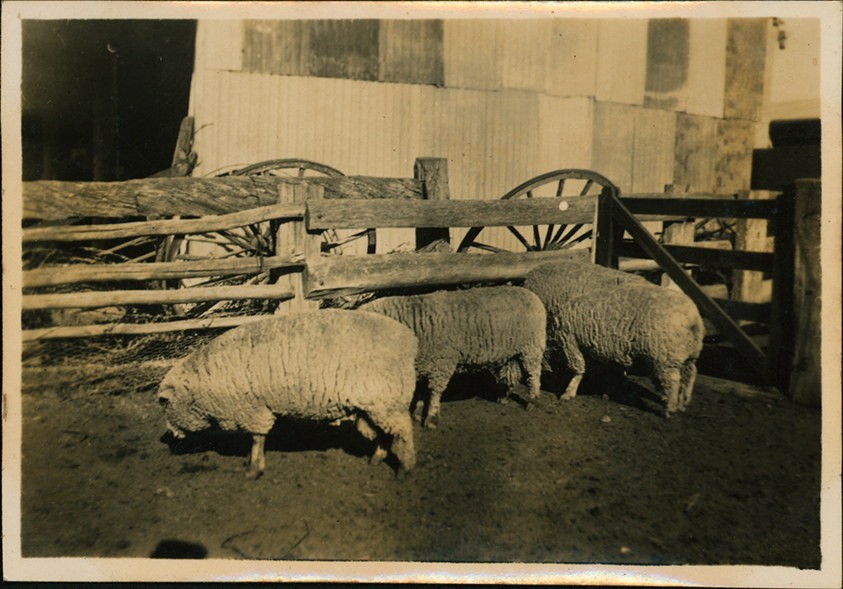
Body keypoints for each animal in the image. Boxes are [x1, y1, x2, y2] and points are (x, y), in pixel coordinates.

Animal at [157, 309, 419, 478]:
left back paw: (405, 469)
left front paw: (253, 469)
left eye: (165, 403)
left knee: (404, 432)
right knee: (386, 433)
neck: (209, 382)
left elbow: (256, 438)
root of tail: (410, 340)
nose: (169, 435)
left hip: (387, 398)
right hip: (377, 403)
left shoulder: (253, 409)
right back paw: (375, 460)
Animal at [359, 286, 546, 429]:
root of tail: (530, 294)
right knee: (510, 372)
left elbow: (434, 391)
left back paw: (533, 399)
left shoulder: (441, 362)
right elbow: (421, 389)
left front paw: (431, 417)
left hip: (532, 346)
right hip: (510, 352)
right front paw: (418, 411)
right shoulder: (422, 363)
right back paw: (503, 396)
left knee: (534, 373)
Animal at [522, 261, 704, 416]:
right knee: (690, 373)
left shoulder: (571, 342)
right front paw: (608, 389)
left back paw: (670, 408)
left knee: (673, 380)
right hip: (687, 354)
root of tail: (692, 319)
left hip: (665, 357)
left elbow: (579, 369)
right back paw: (683, 402)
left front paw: (569, 391)